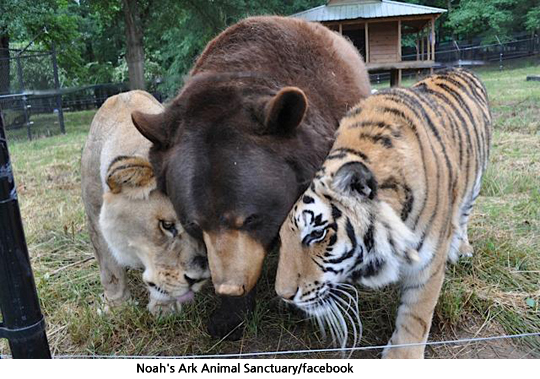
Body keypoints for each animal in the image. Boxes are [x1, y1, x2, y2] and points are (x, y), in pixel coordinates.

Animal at [81, 90, 210, 316]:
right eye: (166, 225)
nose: (199, 279)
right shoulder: (94, 217)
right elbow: (109, 269)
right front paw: (117, 307)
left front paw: (164, 308)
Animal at [276, 69, 492, 360]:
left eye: (317, 234)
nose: (283, 295)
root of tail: (460, 69)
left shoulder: (428, 263)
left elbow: (416, 314)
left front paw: (402, 357)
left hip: (476, 182)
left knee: (464, 215)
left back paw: (463, 248)